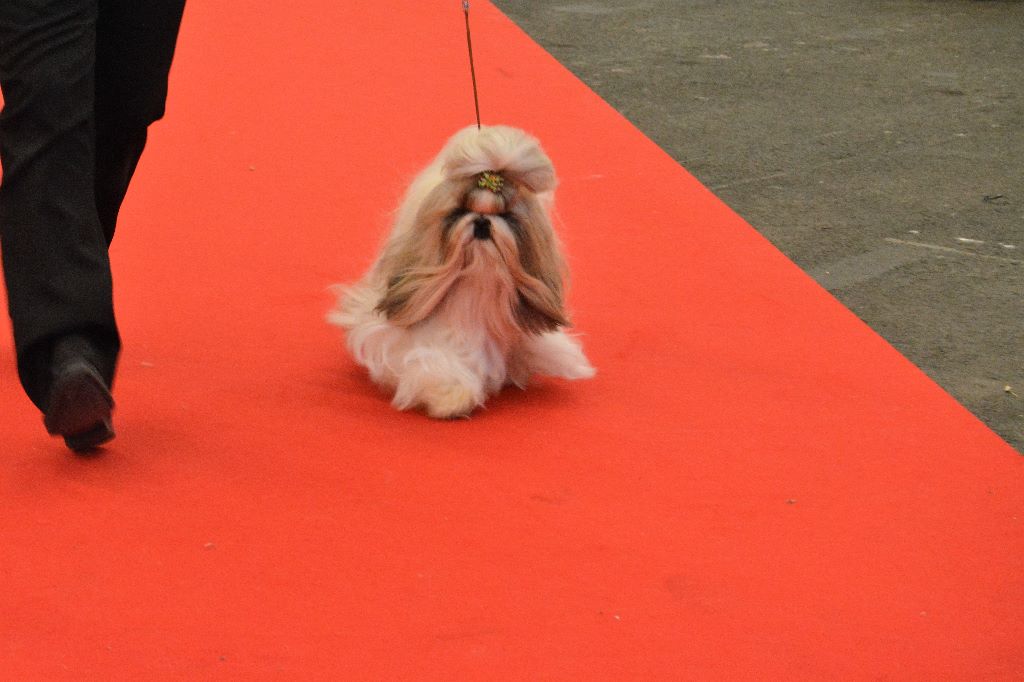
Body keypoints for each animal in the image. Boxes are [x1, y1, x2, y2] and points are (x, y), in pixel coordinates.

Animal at [331, 124, 598, 417]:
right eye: (460, 211)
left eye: (505, 216)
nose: (481, 222)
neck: (477, 282)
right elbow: (435, 362)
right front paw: (452, 397)